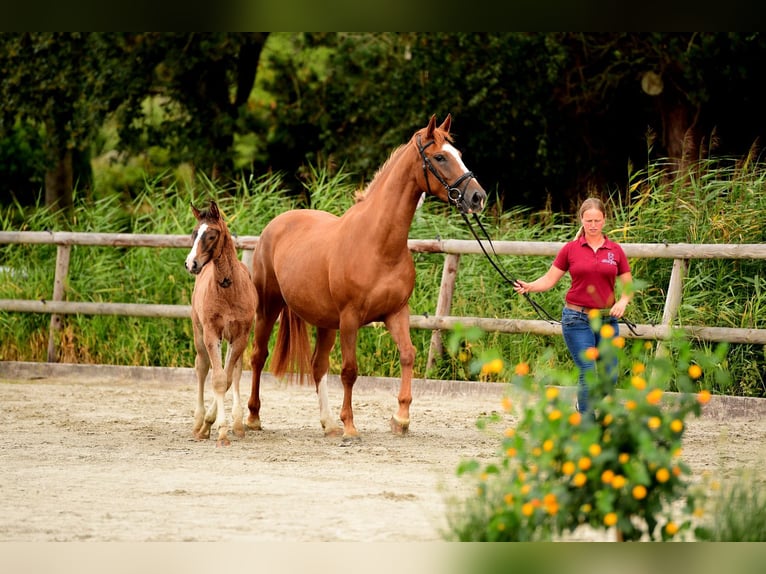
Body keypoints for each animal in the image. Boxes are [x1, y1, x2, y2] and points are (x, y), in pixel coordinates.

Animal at [185, 202, 258, 450]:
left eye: (211, 235)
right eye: (193, 233)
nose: (191, 263)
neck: (228, 289)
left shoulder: (241, 335)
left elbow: (226, 378)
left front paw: (220, 425)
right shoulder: (211, 333)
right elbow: (216, 379)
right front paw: (213, 428)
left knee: (234, 372)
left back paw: (236, 423)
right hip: (198, 334)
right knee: (201, 367)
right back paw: (198, 422)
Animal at [248, 116, 486, 440]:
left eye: (459, 154)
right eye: (440, 157)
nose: (477, 197)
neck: (378, 244)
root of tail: (276, 225)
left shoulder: (396, 312)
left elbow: (408, 355)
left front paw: (400, 418)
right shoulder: (350, 318)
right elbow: (350, 370)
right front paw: (350, 426)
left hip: (325, 323)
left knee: (318, 365)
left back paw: (328, 424)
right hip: (268, 307)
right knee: (258, 356)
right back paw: (251, 418)